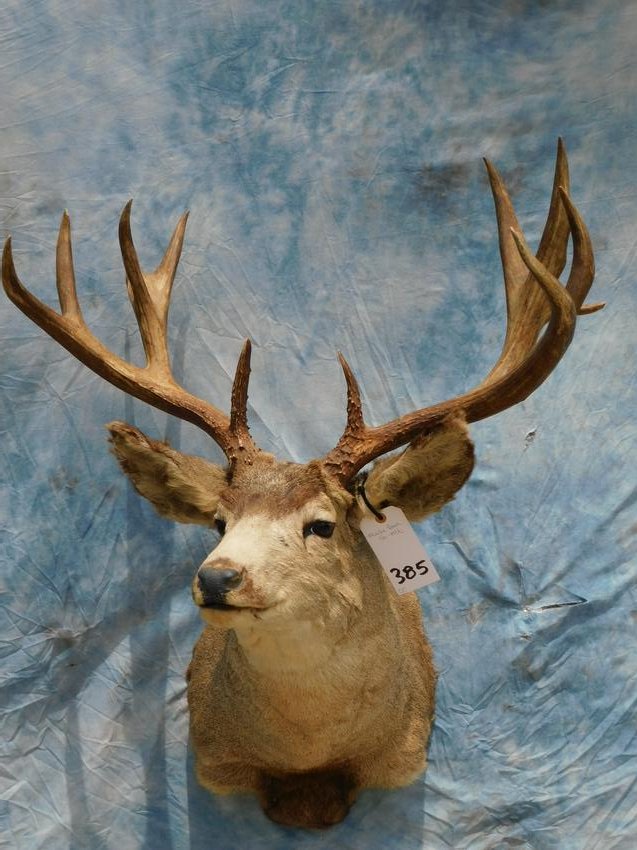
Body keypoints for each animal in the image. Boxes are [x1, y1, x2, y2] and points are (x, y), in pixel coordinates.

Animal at [2, 140, 602, 829]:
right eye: (219, 521)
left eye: (321, 523)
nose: (217, 576)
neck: (309, 758)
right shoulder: (215, 760)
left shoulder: (404, 758)